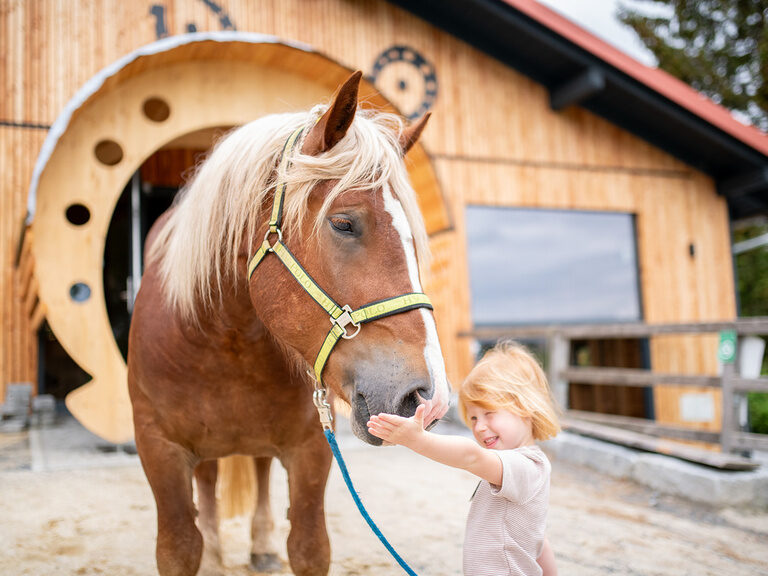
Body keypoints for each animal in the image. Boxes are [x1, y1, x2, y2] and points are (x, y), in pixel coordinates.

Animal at [127, 71, 451, 576]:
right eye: (343, 223)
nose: (426, 397)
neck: (220, 339)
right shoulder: (159, 449)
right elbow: (180, 548)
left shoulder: (311, 448)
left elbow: (308, 546)